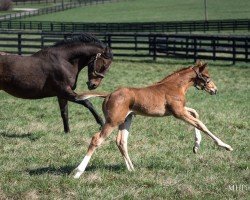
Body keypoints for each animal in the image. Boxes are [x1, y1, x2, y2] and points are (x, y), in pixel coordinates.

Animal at [71, 61, 233, 178]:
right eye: (207, 76)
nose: (214, 90)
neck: (175, 86)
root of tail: (109, 94)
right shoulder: (178, 112)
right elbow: (201, 124)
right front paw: (225, 146)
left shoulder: (179, 110)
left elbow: (195, 113)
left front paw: (196, 146)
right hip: (112, 121)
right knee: (96, 139)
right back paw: (78, 172)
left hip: (126, 119)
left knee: (121, 141)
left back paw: (131, 169)